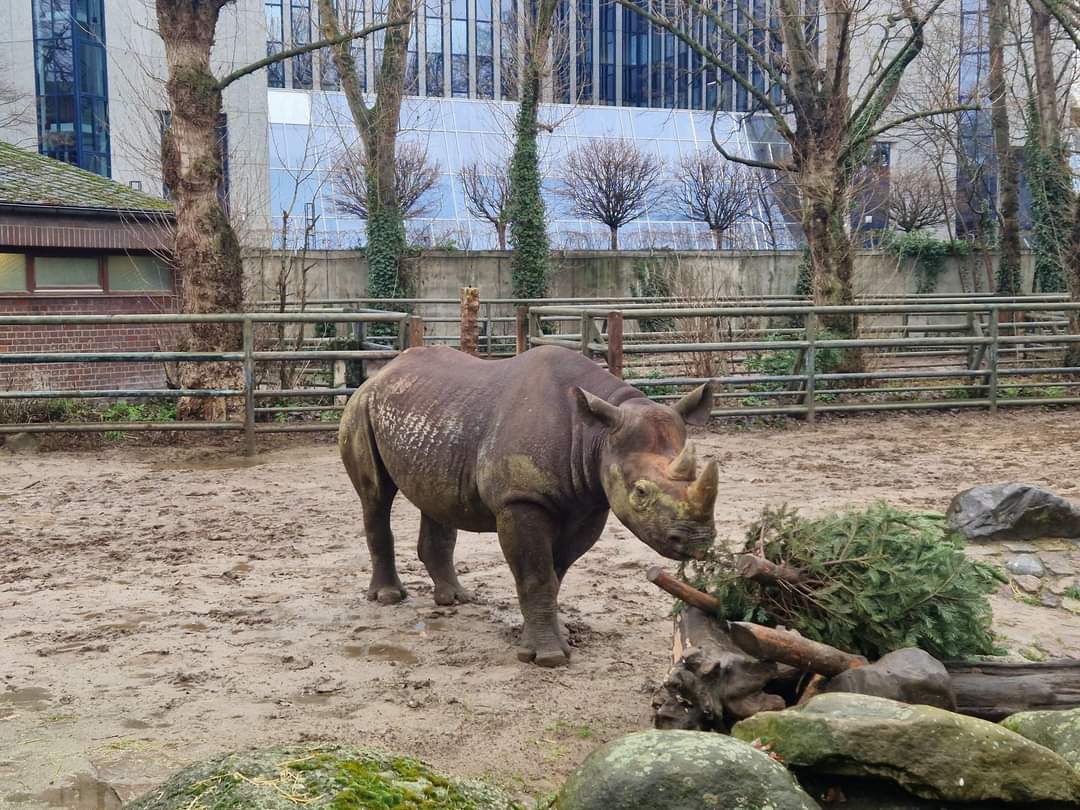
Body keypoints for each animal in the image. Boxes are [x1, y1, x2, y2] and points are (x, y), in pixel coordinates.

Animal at [339, 344, 719, 667]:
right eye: (640, 492)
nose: (698, 541)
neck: (595, 436)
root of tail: (382, 372)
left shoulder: (588, 506)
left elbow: (554, 573)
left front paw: (544, 639)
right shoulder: (520, 499)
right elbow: (536, 575)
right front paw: (548, 658)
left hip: (435, 415)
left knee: (433, 496)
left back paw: (456, 599)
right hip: (361, 408)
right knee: (375, 496)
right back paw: (389, 597)